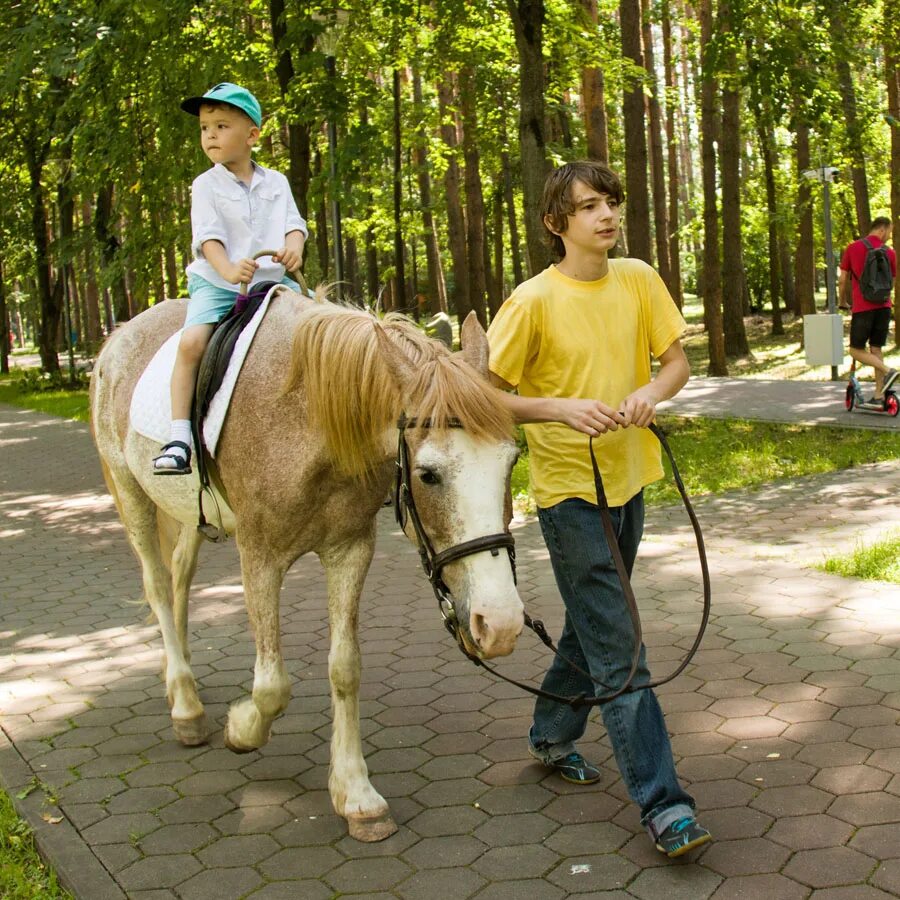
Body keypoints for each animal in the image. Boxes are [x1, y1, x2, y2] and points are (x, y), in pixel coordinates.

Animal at [88, 290, 524, 844]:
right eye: (428, 474)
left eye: (512, 461)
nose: (502, 624)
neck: (308, 420)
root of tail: (118, 337)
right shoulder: (259, 555)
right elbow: (272, 685)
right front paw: (241, 730)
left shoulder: (349, 549)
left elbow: (345, 667)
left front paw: (356, 794)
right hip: (129, 493)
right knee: (159, 586)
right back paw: (186, 705)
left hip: (190, 514)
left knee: (181, 574)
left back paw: (179, 676)